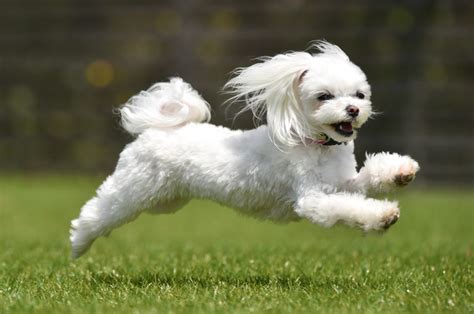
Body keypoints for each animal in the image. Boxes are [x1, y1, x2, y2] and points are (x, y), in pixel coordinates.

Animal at [69, 41, 418, 258]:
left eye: (359, 95)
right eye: (324, 96)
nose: (352, 110)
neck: (316, 145)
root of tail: (157, 129)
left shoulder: (343, 182)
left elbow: (365, 181)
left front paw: (400, 172)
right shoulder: (312, 198)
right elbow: (344, 207)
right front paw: (384, 215)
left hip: (166, 199)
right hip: (135, 187)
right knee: (99, 211)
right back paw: (78, 242)